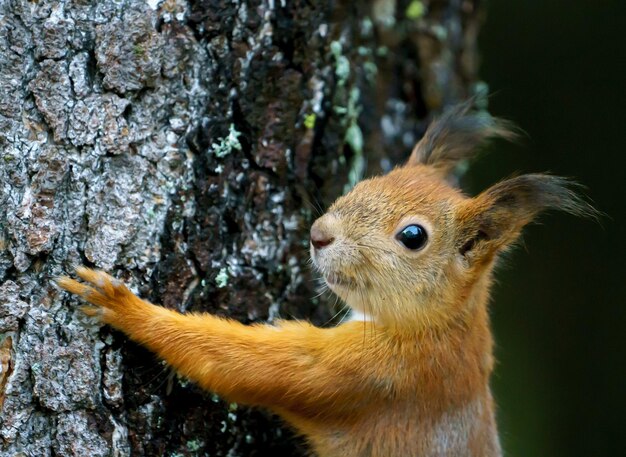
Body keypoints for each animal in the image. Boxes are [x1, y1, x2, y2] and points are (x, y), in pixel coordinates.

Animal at [56, 103, 592, 456]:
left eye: (413, 236)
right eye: (369, 179)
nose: (317, 234)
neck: (440, 324)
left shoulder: (376, 373)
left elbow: (253, 367)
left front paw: (124, 306)